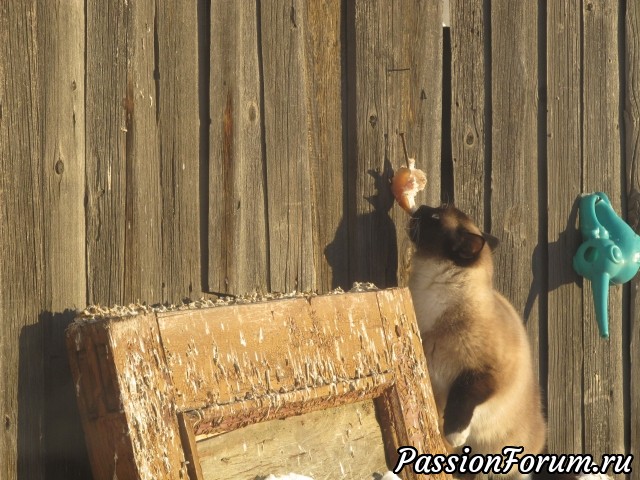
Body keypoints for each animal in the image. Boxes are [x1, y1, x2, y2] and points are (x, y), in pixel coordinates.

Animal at [408, 205, 608, 480]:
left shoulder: (485, 374)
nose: (420, 208)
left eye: (435, 217)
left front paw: (454, 434)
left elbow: (461, 397)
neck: (433, 295)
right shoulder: (429, 366)